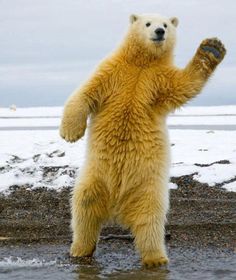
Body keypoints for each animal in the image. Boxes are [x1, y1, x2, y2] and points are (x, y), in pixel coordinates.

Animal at [60, 13, 226, 266]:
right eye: (147, 23)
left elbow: (184, 85)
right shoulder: (113, 71)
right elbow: (86, 93)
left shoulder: (158, 80)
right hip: (95, 176)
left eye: (166, 24)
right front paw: (70, 133)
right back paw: (80, 249)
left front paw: (212, 49)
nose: (159, 31)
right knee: (84, 207)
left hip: (147, 186)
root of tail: (117, 206)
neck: (142, 64)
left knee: (150, 220)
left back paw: (156, 258)